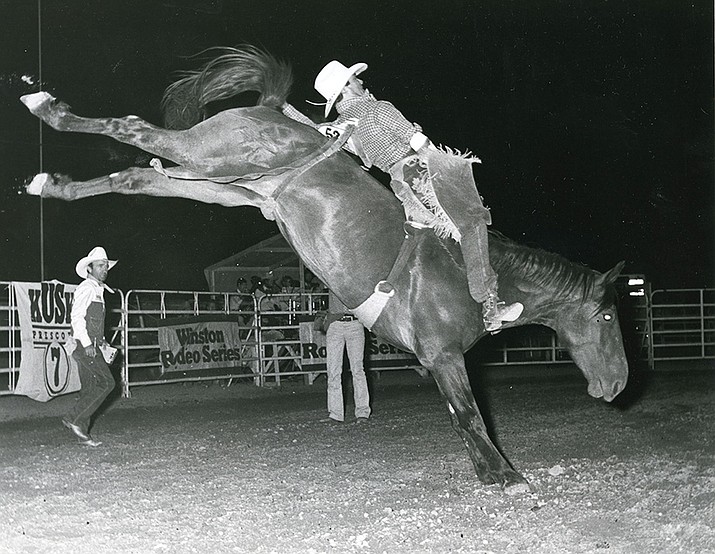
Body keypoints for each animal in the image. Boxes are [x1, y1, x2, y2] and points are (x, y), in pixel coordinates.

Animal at [19, 46, 628, 488]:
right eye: (607, 318)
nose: (618, 384)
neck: (469, 273)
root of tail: (270, 108)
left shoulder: (437, 360)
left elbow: (461, 416)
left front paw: (489, 472)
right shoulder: (443, 355)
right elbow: (469, 413)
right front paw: (505, 475)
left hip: (220, 183)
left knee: (135, 175)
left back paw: (51, 182)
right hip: (213, 157)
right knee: (133, 128)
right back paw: (47, 108)